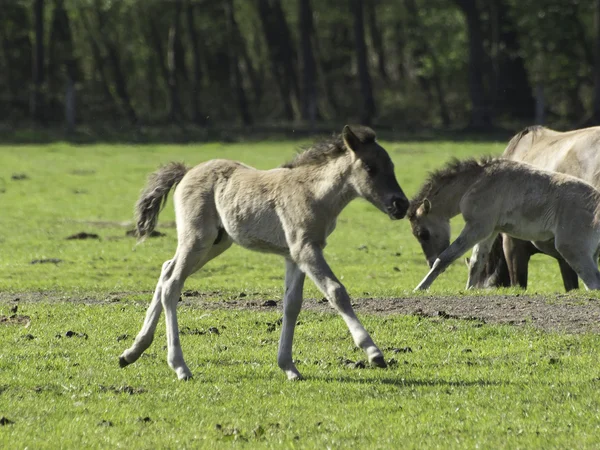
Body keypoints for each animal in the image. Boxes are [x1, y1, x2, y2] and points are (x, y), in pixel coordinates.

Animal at [119, 125, 410, 380]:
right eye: (370, 168)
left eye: (393, 167)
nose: (401, 205)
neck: (313, 192)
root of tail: (187, 171)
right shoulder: (306, 248)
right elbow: (336, 291)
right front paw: (374, 352)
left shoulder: (294, 255)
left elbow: (292, 305)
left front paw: (289, 367)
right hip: (197, 239)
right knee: (172, 284)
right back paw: (180, 367)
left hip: (217, 243)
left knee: (166, 269)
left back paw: (131, 352)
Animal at [410, 157, 600, 292]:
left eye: (423, 234)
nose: (429, 261)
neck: (477, 181)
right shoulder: (490, 231)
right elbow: (476, 262)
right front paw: (468, 290)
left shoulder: (477, 228)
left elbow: (446, 257)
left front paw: (420, 288)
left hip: (572, 251)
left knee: (593, 283)